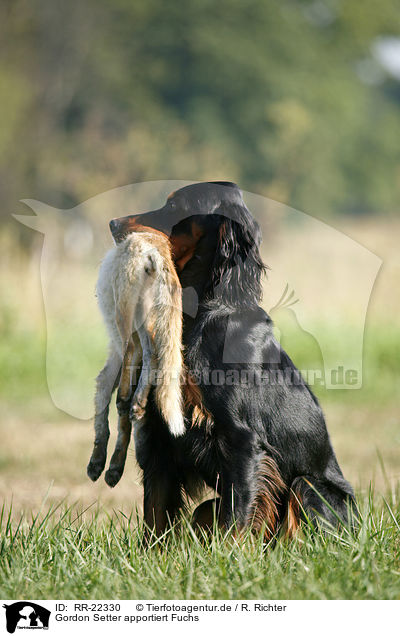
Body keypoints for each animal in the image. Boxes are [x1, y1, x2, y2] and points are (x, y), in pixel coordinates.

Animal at [108, 181, 354, 540]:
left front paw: (231, 554)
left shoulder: (243, 442)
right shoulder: (161, 437)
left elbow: (236, 521)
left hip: (309, 487)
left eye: (176, 206)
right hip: (208, 507)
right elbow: (156, 517)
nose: (113, 224)